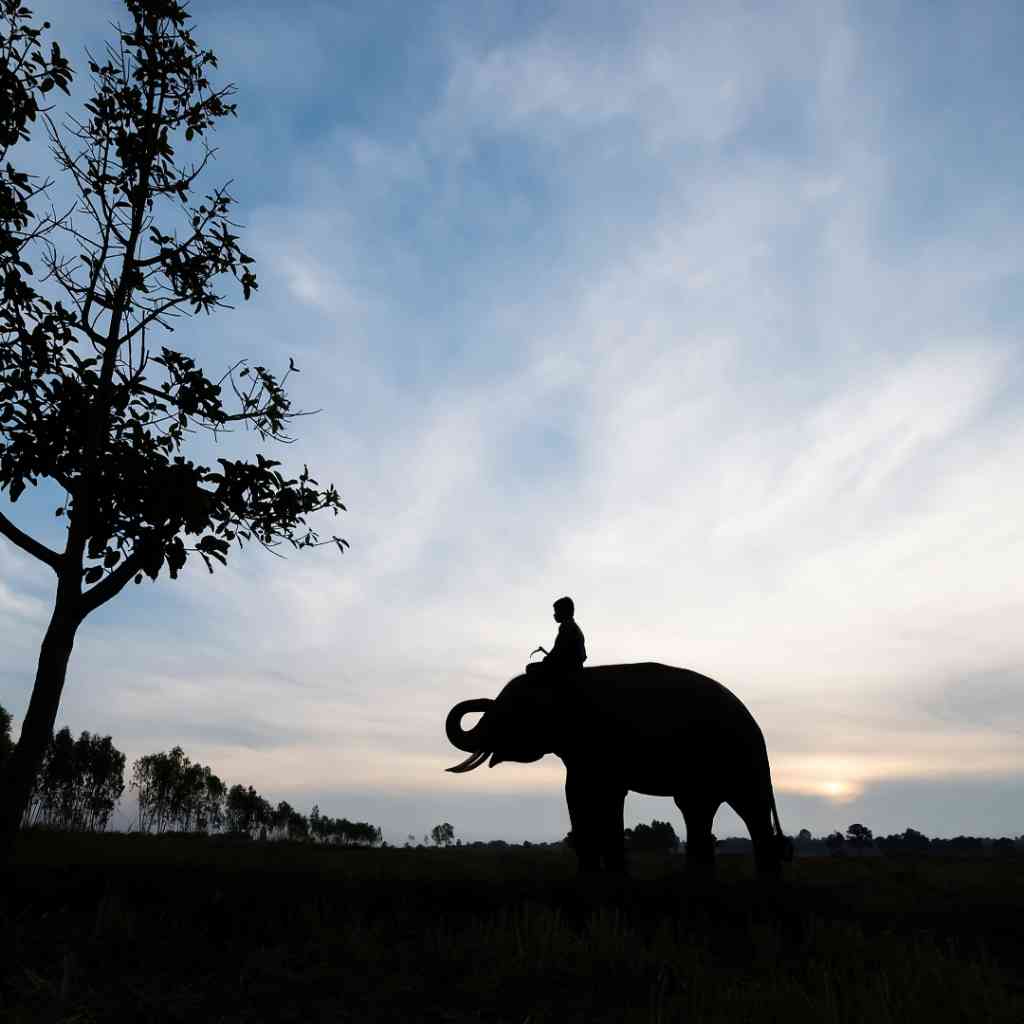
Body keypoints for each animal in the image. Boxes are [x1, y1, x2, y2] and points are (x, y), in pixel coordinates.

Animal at [446, 667, 790, 876]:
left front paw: (609, 878)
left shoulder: (604, 745)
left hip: (738, 761)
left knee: (750, 811)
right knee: (699, 811)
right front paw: (594, 878)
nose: (481, 701)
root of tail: (757, 727)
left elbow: (606, 794)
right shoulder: (583, 754)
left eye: (509, 709)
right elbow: (577, 793)